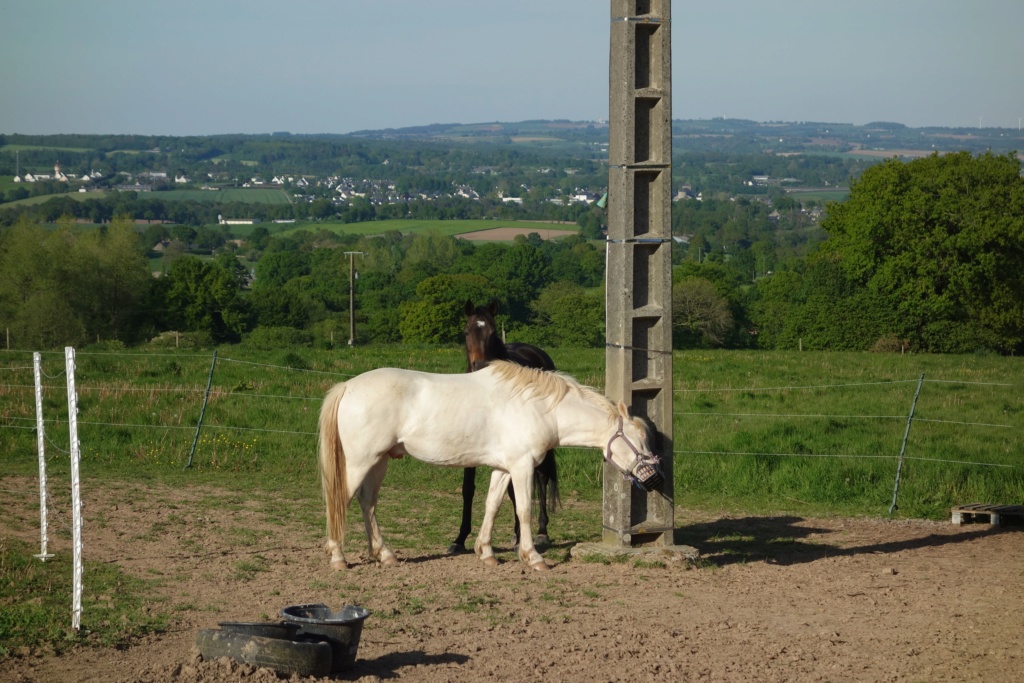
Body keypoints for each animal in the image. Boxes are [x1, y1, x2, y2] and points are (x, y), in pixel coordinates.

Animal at [315, 362, 663, 573]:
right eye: (639, 441)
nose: (654, 479)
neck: (539, 408)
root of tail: (347, 387)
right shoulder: (522, 467)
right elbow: (523, 510)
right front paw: (533, 557)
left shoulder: (504, 468)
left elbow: (492, 505)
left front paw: (486, 552)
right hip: (361, 461)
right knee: (340, 502)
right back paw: (338, 557)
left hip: (379, 461)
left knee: (368, 504)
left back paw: (384, 554)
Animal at [448, 301, 561, 557]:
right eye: (467, 332)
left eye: (492, 333)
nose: (480, 365)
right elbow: (468, 489)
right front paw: (459, 539)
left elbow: (514, 490)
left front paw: (521, 538)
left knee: (541, 478)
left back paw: (541, 531)